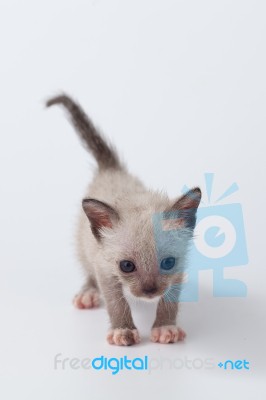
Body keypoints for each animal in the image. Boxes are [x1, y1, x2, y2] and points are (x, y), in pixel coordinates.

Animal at [45, 95, 201, 346]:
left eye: (167, 262)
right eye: (126, 266)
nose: (149, 292)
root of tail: (112, 169)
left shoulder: (178, 270)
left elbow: (169, 301)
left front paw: (165, 327)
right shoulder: (104, 268)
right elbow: (116, 303)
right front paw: (123, 331)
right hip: (85, 247)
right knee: (88, 269)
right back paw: (87, 294)